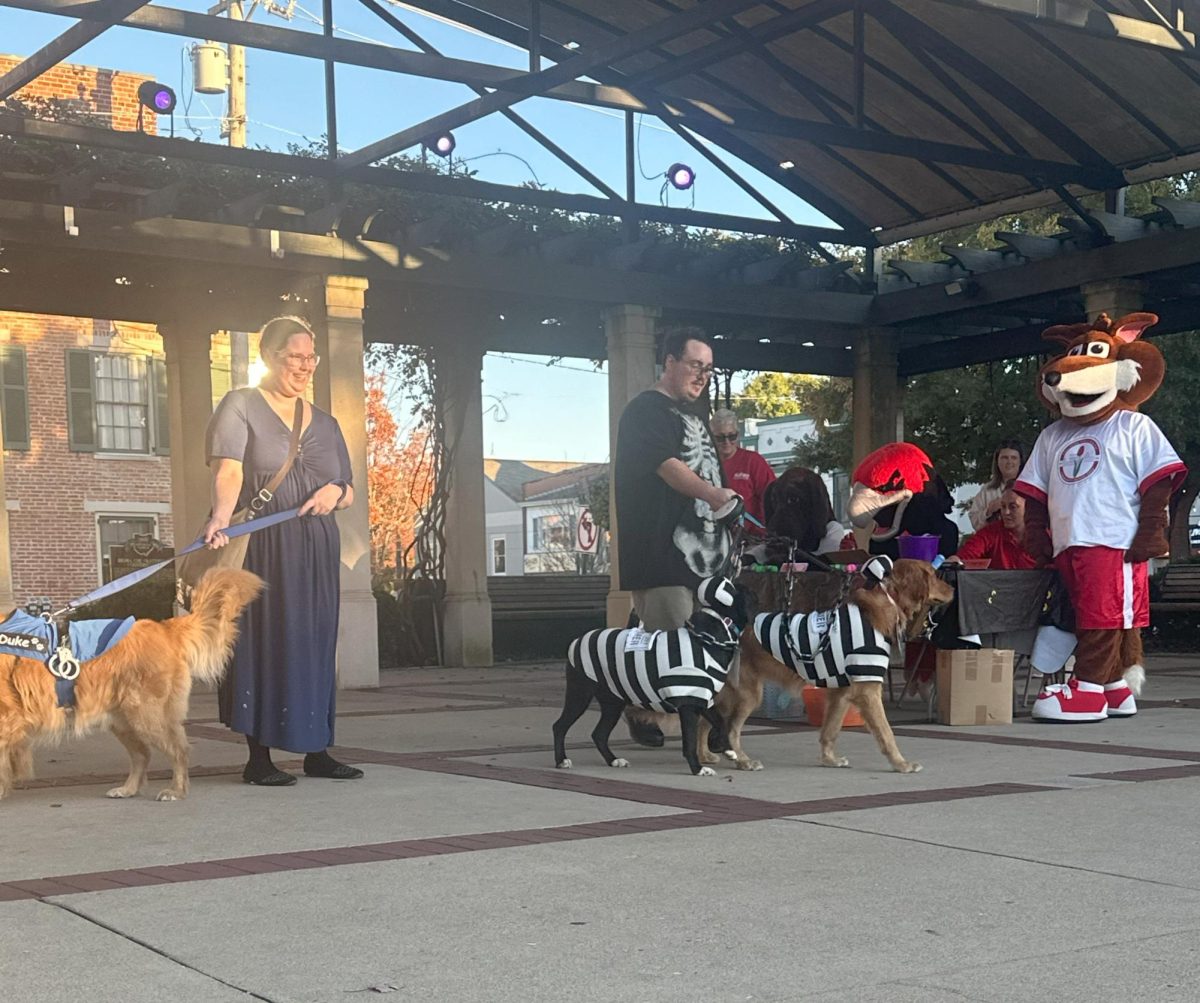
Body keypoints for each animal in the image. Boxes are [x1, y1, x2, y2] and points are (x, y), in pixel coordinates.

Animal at [552, 575, 748, 777]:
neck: (706, 640)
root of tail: (577, 641)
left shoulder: (703, 700)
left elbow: (721, 723)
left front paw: (729, 750)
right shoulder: (688, 706)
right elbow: (690, 743)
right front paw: (697, 768)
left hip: (613, 703)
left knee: (599, 734)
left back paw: (613, 760)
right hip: (580, 696)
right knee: (560, 726)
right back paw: (561, 760)